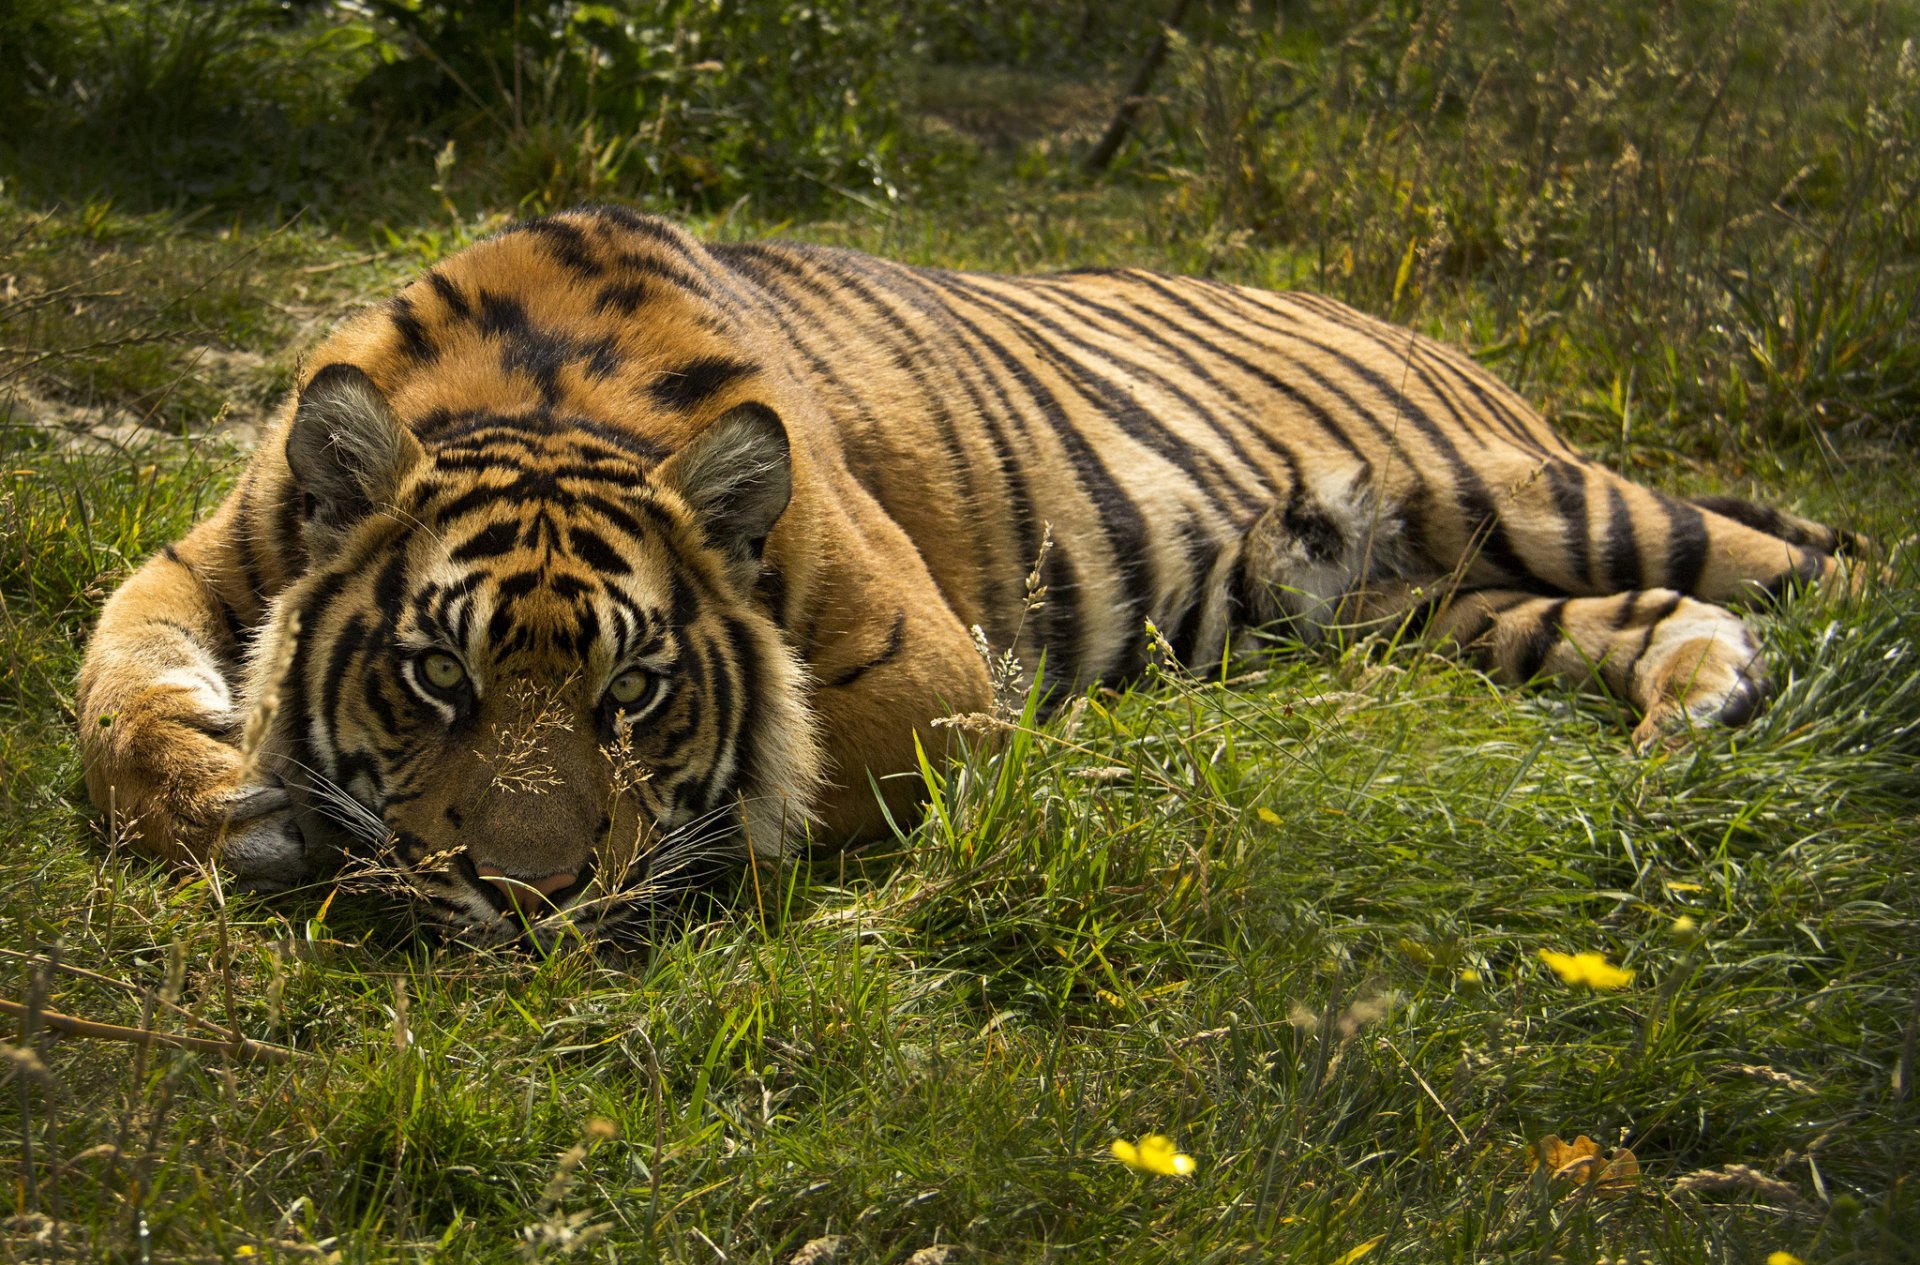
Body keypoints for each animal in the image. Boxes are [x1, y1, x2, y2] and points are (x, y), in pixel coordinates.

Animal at [76, 205, 1862, 944]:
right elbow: (114, 691)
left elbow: (775, 778)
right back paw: (1693, 711)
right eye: (435, 674)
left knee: (1820, 558)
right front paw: (233, 803)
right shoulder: (196, 556)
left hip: (1534, 492)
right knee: (1640, 616)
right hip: (1427, 608)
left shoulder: (922, 676)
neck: (536, 392)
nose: (531, 897)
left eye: (634, 692)